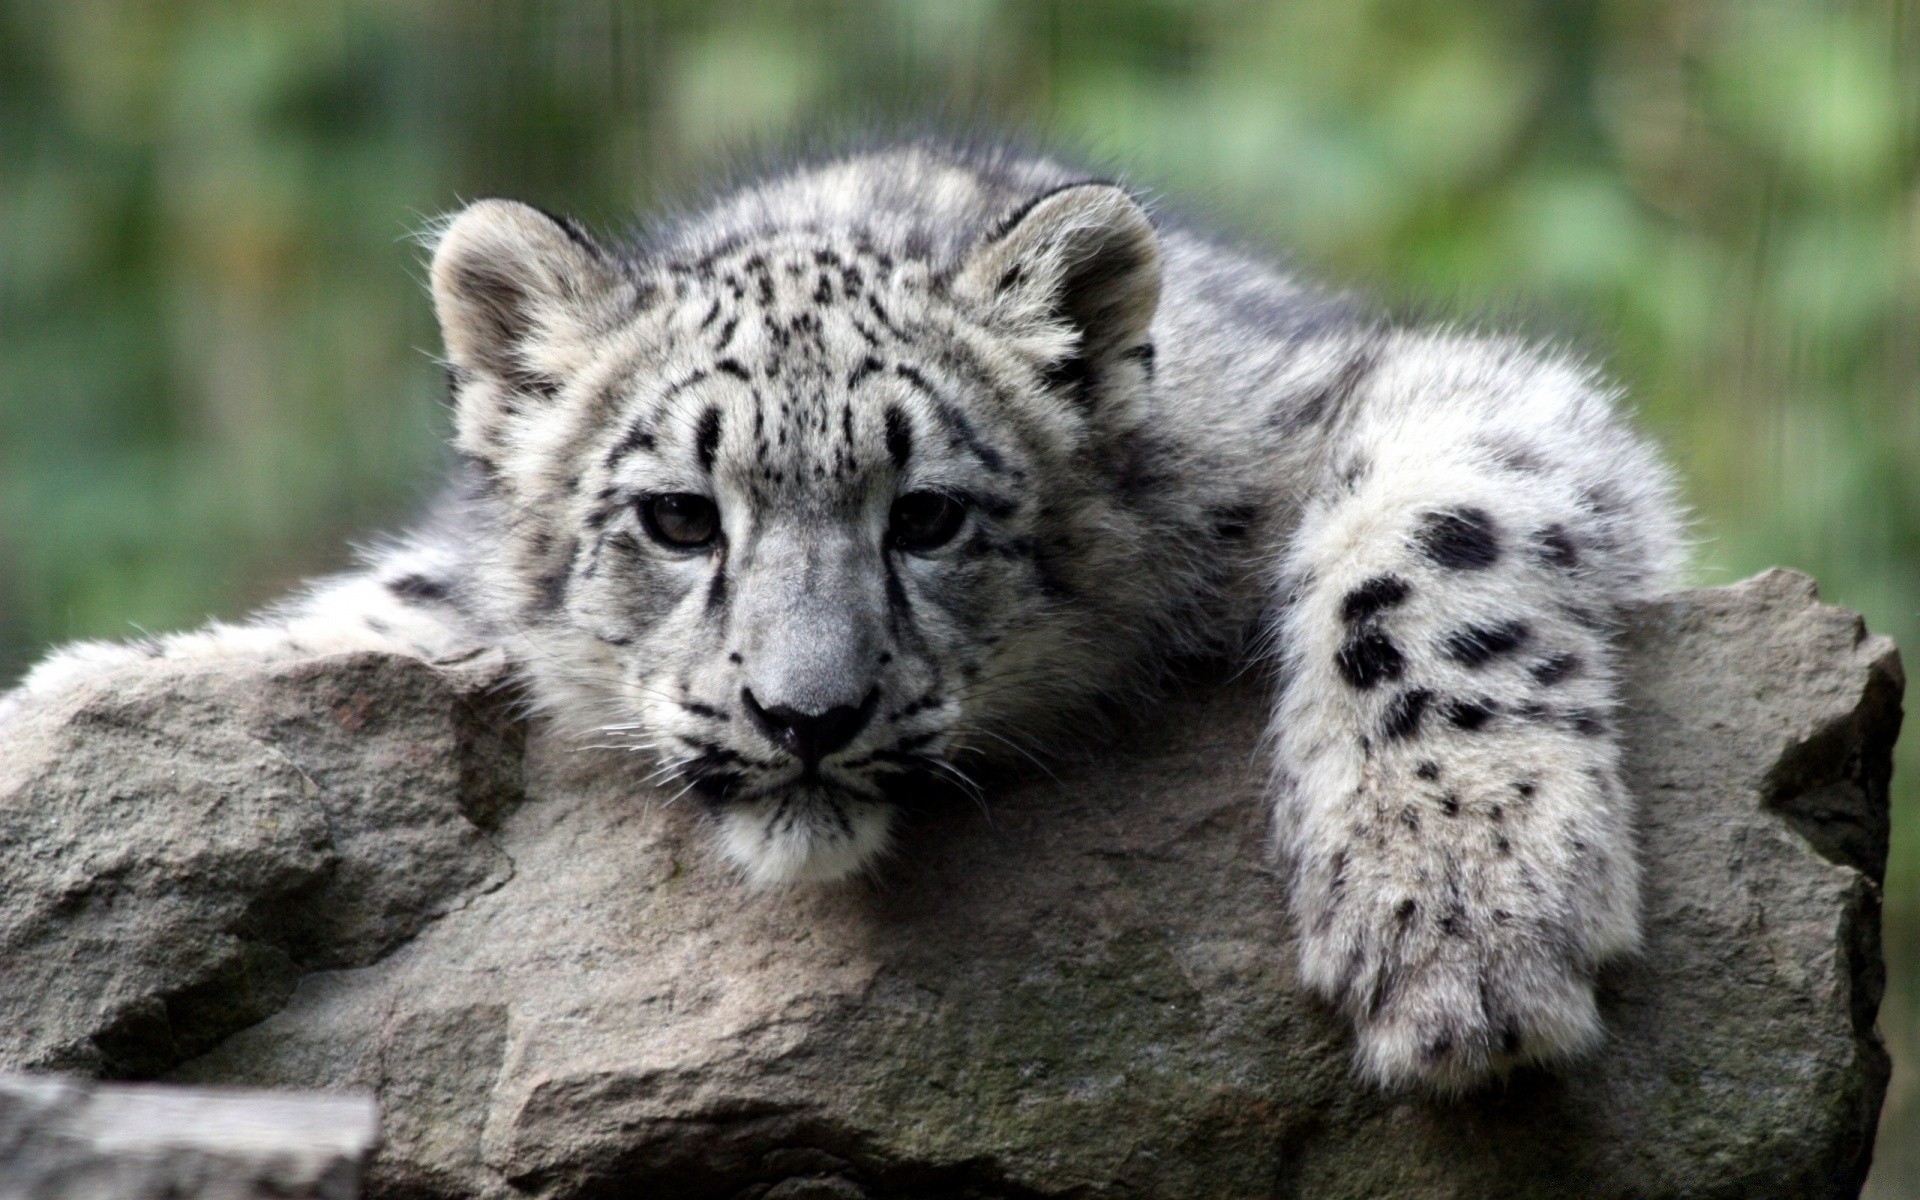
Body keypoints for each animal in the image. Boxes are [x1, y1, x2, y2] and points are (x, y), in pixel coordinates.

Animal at [11, 143, 1681, 1098]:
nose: (803, 714)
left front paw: (1458, 923)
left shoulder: (1423, 398)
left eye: (927, 515)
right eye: (679, 518)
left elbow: (1431, 547)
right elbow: (370, 616)